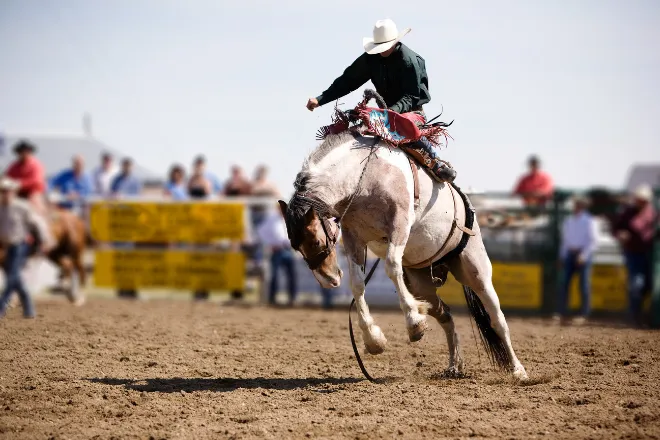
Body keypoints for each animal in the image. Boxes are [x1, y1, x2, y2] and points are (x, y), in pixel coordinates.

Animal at [278, 90, 524, 382]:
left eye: (315, 240)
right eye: (296, 247)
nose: (328, 280)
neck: (364, 175)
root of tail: (468, 206)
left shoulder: (399, 224)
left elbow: (392, 267)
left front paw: (414, 323)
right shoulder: (353, 237)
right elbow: (357, 284)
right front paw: (374, 340)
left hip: (475, 268)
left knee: (497, 319)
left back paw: (518, 370)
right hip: (421, 281)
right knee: (445, 314)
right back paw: (454, 365)